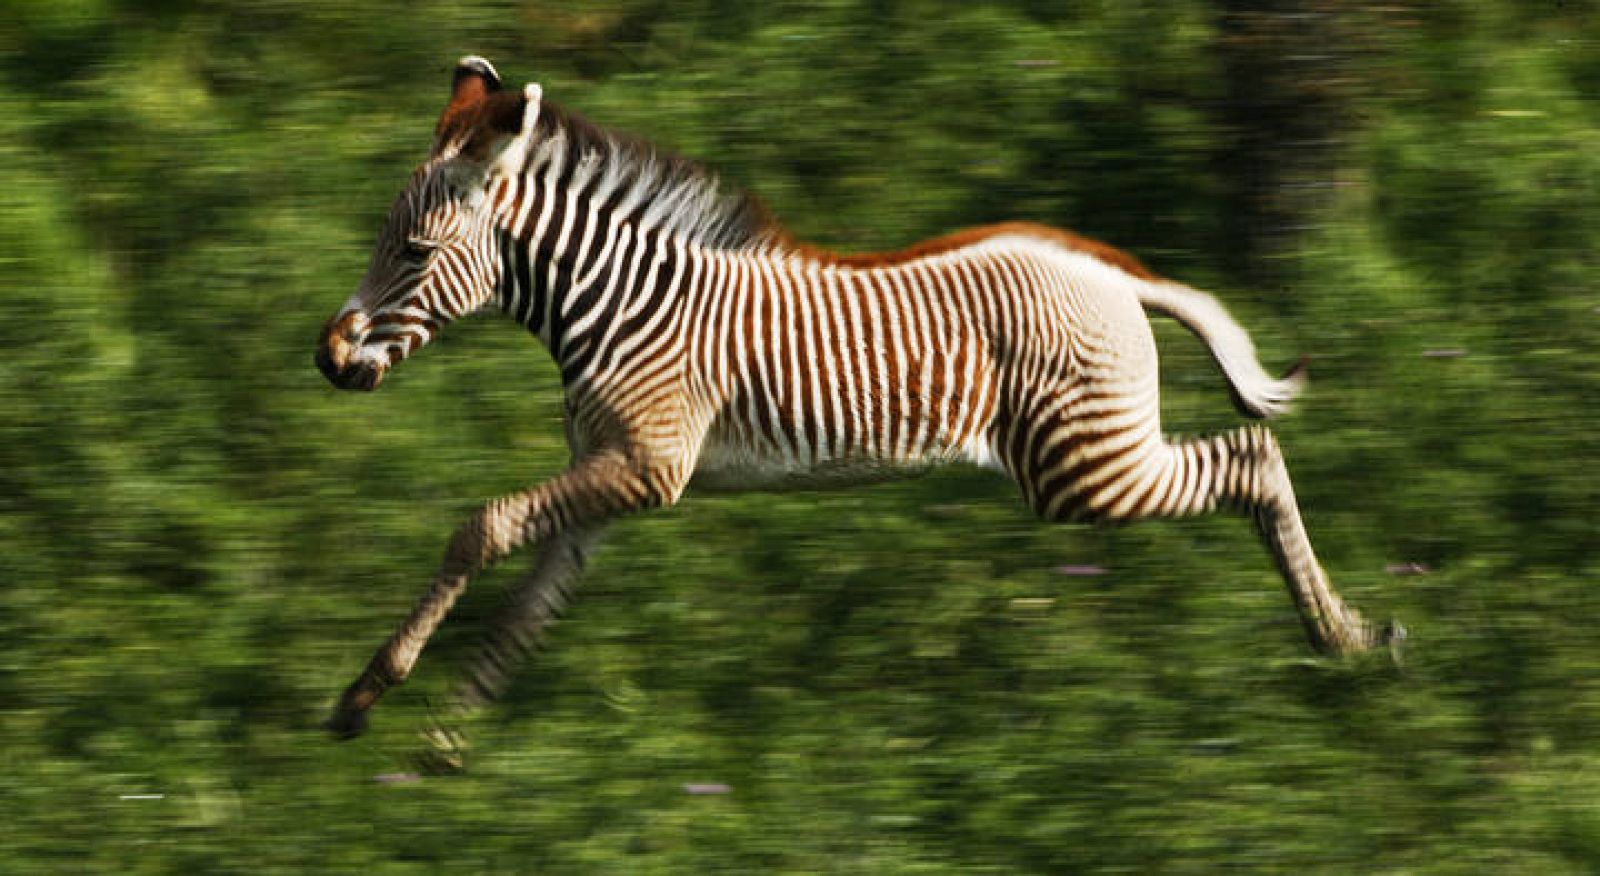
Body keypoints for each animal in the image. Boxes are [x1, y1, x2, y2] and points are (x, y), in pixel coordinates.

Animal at [315, 56, 1401, 751]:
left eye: (411, 250)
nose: (328, 358)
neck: (615, 305)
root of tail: (1114, 274)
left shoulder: (646, 468)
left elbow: (480, 526)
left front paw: (367, 699)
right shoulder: (612, 481)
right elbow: (528, 610)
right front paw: (447, 745)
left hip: (1083, 465)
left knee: (1251, 460)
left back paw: (1345, 639)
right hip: (1091, 456)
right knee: (1249, 461)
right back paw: (1343, 637)